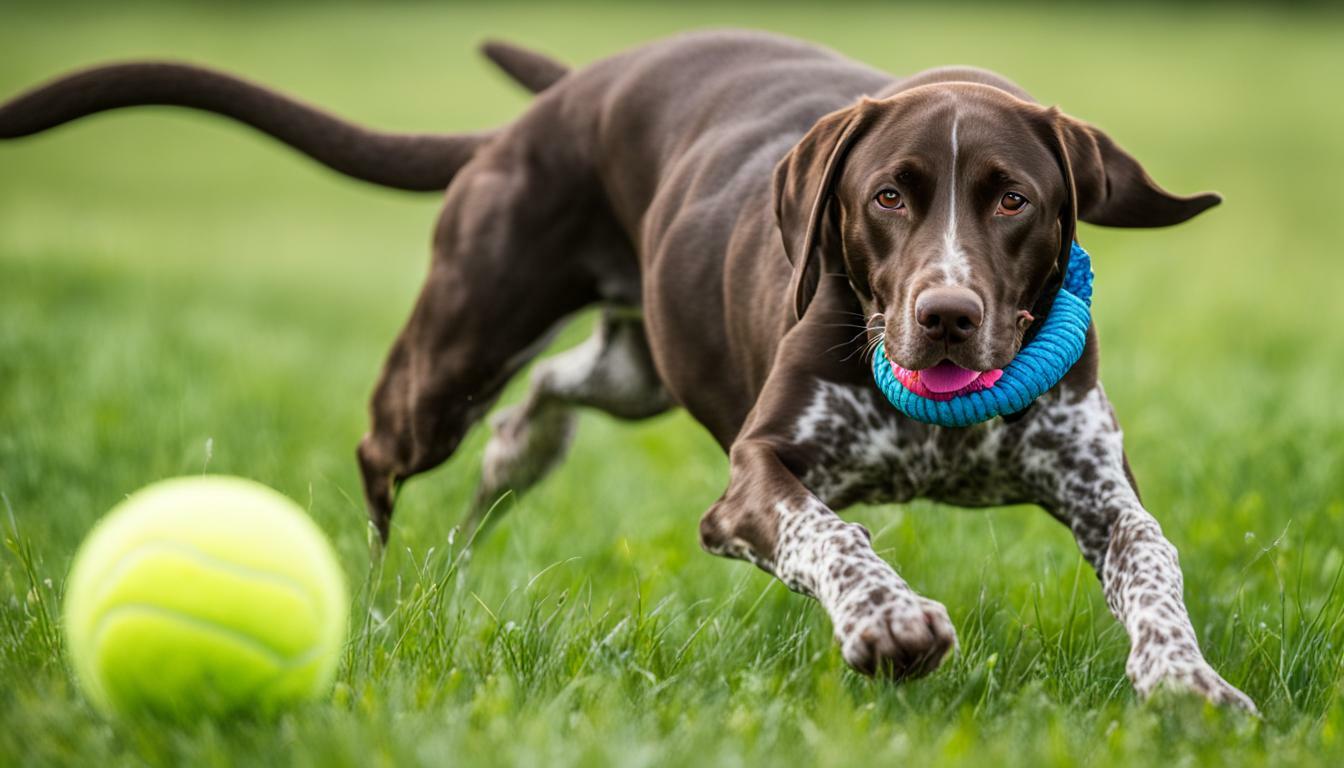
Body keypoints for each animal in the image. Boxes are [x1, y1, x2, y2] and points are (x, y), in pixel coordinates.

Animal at [0, 31, 1257, 715]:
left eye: (1014, 201)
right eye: (889, 196)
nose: (946, 318)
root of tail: (559, 98)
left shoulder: (1098, 486)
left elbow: (1152, 564)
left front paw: (1185, 680)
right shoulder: (755, 484)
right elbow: (834, 537)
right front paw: (887, 620)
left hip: (638, 364)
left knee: (554, 395)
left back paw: (524, 449)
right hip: (457, 348)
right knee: (383, 456)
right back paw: (383, 587)